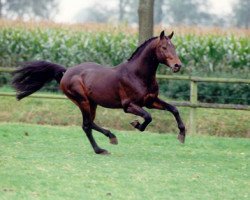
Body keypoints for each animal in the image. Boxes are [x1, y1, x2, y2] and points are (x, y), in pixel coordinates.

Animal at [12, 30, 187, 154]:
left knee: (89, 123)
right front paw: (136, 124)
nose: (177, 65)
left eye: (174, 47)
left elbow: (174, 109)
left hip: (92, 103)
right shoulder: (129, 105)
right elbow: (148, 117)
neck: (138, 75)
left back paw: (110, 138)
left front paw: (182, 135)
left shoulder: (150, 101)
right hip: (82, 101)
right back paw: (101, 148)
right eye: (163, 47)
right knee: (86, 125)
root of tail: (67, 71)